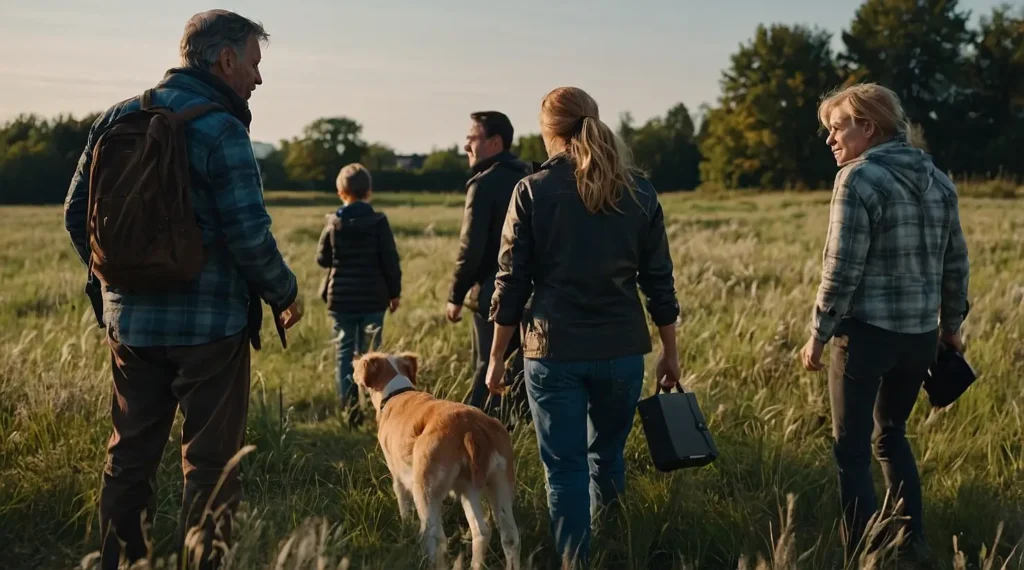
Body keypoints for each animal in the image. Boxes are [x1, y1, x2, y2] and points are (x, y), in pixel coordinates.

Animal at [356, 352, 520, 568]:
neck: (396, 392)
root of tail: (471, 427)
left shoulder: (398, 478)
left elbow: (404, 509)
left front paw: (405, 533)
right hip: (489, 485)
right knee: (498, 534)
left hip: (426, 488)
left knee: (436, 535)